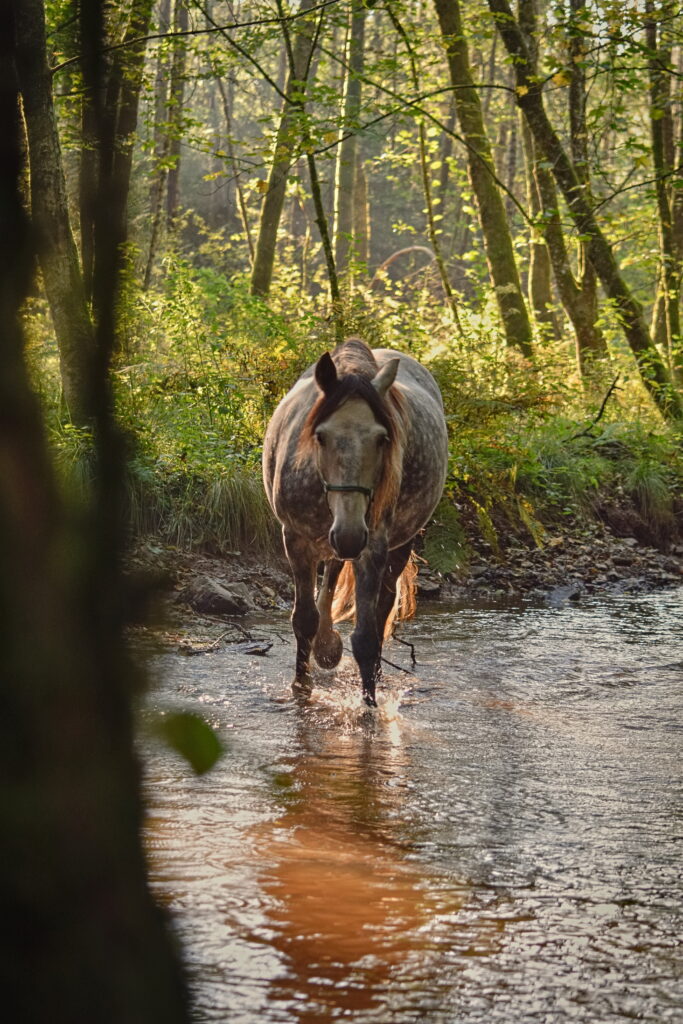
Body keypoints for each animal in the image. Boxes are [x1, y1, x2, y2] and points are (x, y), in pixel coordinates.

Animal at [262, 338, 448, 706]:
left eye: (381, 438)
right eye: (321, 436)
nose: (349, 534)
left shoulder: (371, 545)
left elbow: (366, 636)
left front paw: (369, 705)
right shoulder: (296, 540)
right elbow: (303, 619)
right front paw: (301, 687)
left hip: (396, 544)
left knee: (381, 608)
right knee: (333, 573)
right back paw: (326, 646)